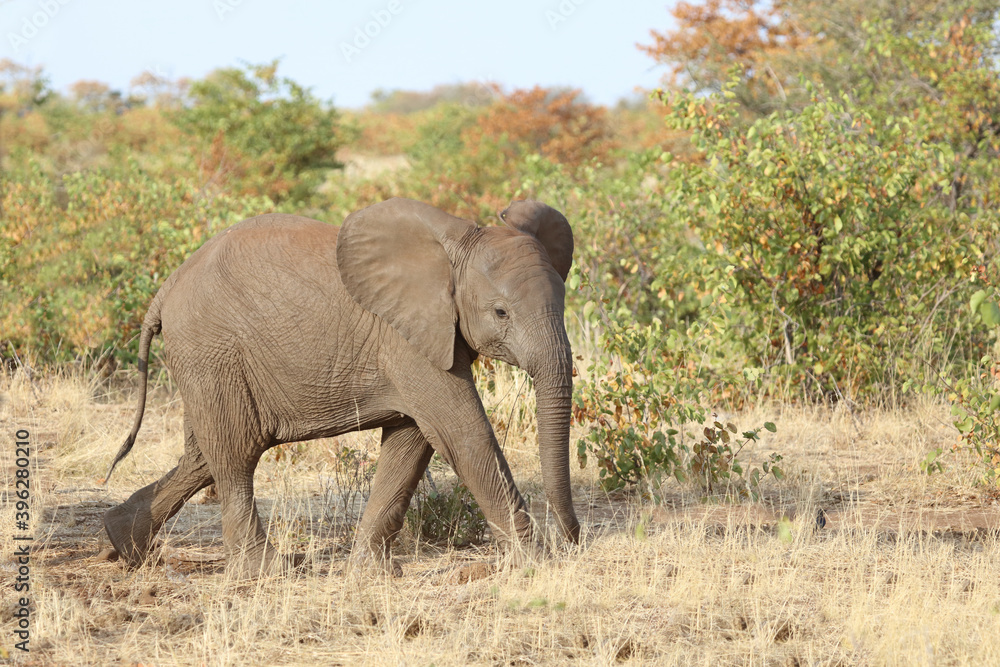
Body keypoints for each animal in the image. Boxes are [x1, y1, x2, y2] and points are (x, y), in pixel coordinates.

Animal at [102, 197, 581, 576]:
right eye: (500, 312)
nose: (572, 540)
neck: (451, 252)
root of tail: (165, 289)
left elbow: (411, 442)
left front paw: (373, 574)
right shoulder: (405, 341)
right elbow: (462, 433)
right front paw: (537, 564)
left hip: (207, 362)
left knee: (202, 455)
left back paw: (124, 543)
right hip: (211, 351)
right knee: (235, 454)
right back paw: (267, 572)